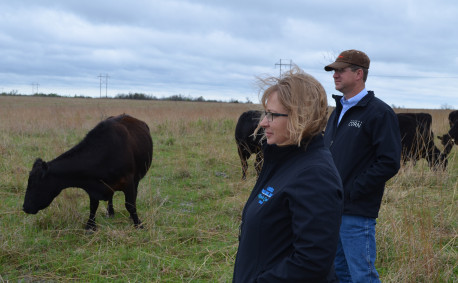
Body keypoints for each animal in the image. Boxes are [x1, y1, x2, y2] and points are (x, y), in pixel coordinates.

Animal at [23, 113, 153, 231]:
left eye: (35, 185)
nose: (24, 207)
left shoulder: (129, 182)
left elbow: (130, 205)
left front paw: (138, 224)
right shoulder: (92, 186)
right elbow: (93, 207)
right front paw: (90, 226)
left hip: (136, 179)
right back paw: (110, 212)